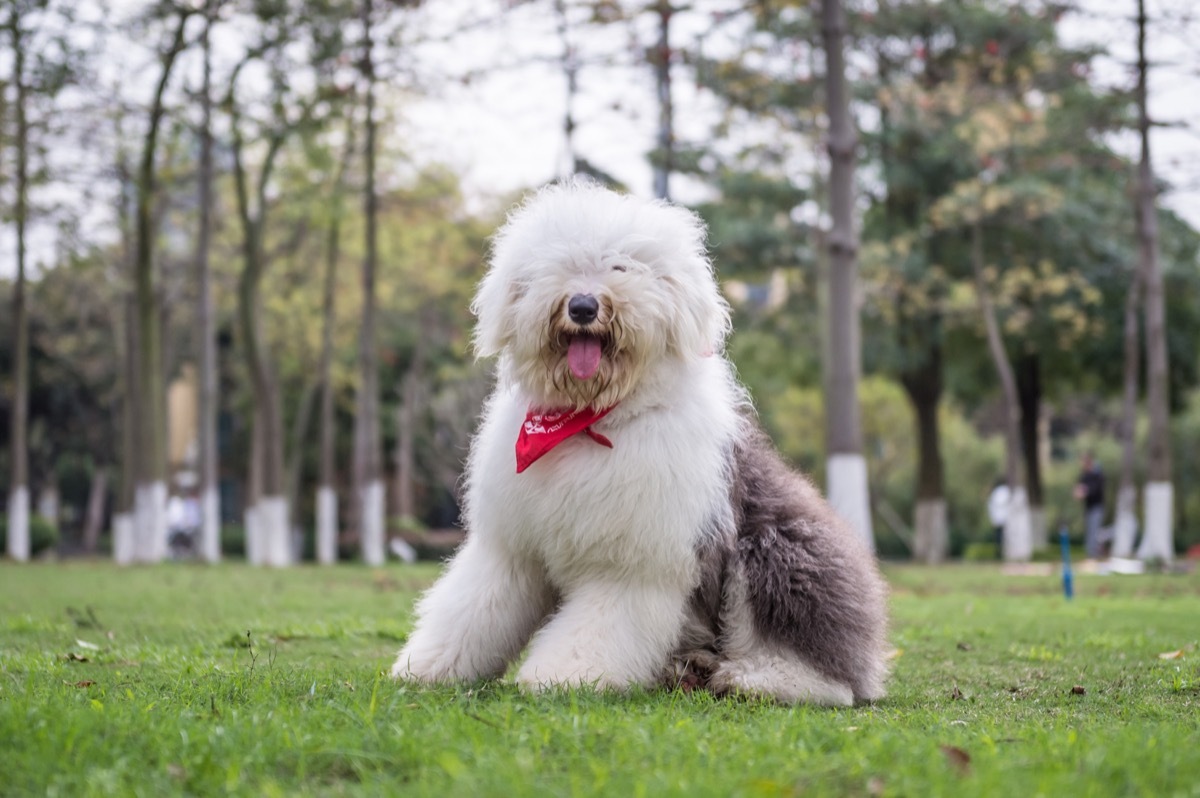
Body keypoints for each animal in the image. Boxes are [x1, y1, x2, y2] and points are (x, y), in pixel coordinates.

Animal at [388, 178, 888, 705]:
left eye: (622, 266)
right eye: (561, 264)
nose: (582, 306)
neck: (590, 422)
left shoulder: (632, 560)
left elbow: (599, 624)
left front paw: (565, 675)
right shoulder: (511, 548)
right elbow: (473, 607)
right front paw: (428, 666)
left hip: (779, 550)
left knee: (826, 675)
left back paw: (755, 679)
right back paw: (688, 669)